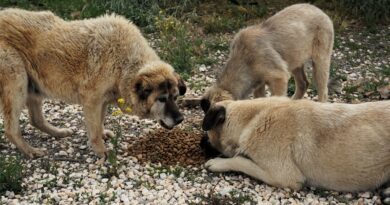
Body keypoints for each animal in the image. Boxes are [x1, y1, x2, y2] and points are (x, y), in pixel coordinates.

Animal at [0, 8, 186, 159]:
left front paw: (103, 136)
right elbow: (94, 129)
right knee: (11, 129)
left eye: (175, 97)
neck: (124, 62)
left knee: (35, 119)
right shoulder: (91, 100)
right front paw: (101, 150)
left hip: (34, 87)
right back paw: (29, 150)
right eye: (162, 99)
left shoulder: (102, 101)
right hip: (17, 84)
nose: (180, 119)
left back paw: (58, 132)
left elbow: (100, 122)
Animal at [201, 97, 390, 191]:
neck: (253, 117)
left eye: (208, 135)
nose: (201, 143)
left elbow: (240, 160)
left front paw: (219, 163)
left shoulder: (284, 176)